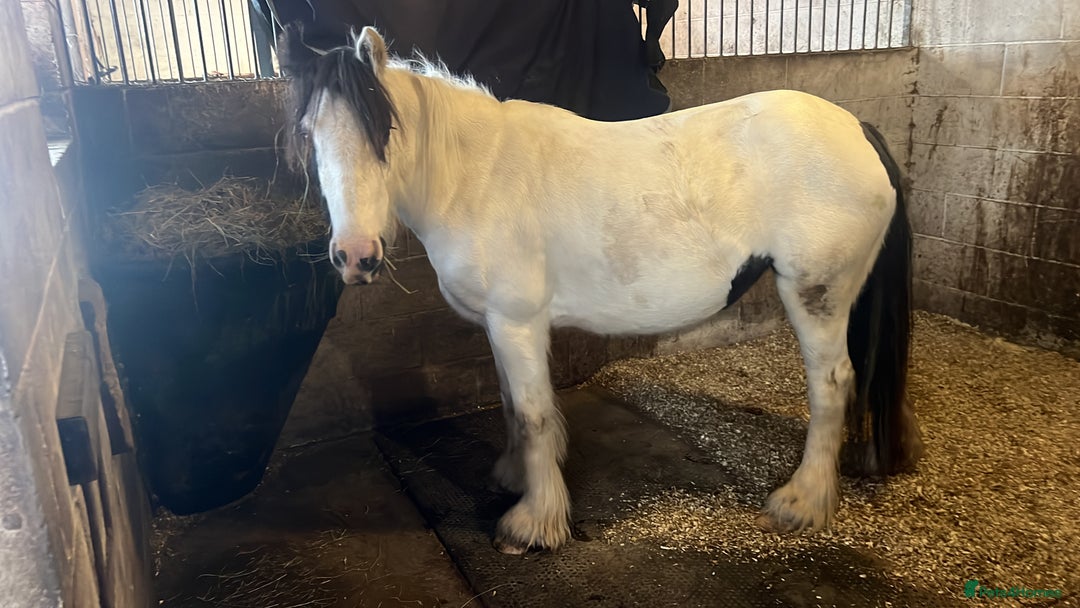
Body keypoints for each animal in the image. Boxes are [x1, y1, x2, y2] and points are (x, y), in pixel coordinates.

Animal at [278, 24, 925, 555]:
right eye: (310, 133)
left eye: (384, 130)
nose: (355, 257)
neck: (477, 177)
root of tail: (858, 129)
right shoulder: (498, 326)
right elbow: (512, 405)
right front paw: (514, 476)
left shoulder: (517, 321)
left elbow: (534, 413)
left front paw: (533, 525)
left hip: (816, 294)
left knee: (832, 383)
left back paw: (801, 502)